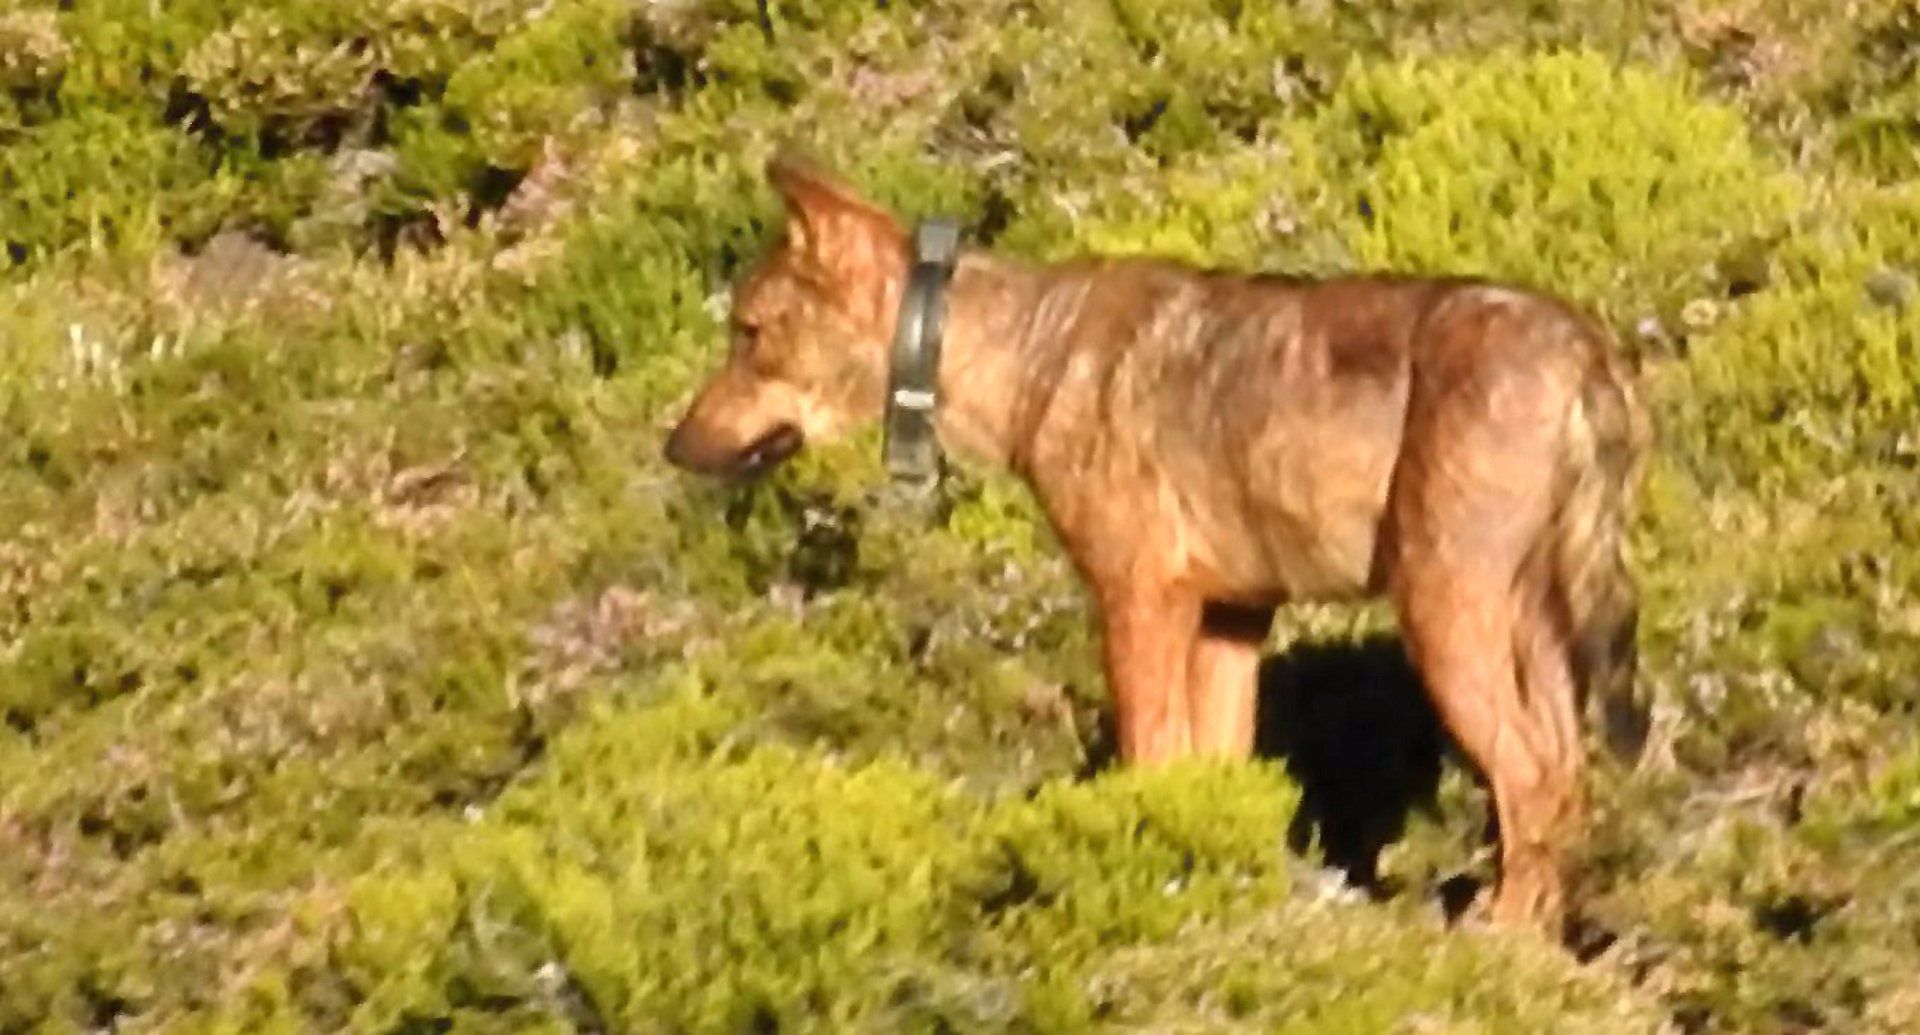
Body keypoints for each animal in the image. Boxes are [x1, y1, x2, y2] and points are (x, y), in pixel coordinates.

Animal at [664, 151, 1651, 933]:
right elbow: (1213, 778)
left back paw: (1505, 935)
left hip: (1445, 620)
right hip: (1535, 629)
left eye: (747, 334)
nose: (673, 445)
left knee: (1530, 778)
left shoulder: (1138, 596)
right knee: (1567, 778)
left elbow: (1150, 760)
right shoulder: (1232, 616)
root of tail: (1587, 351)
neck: (1024, 359)